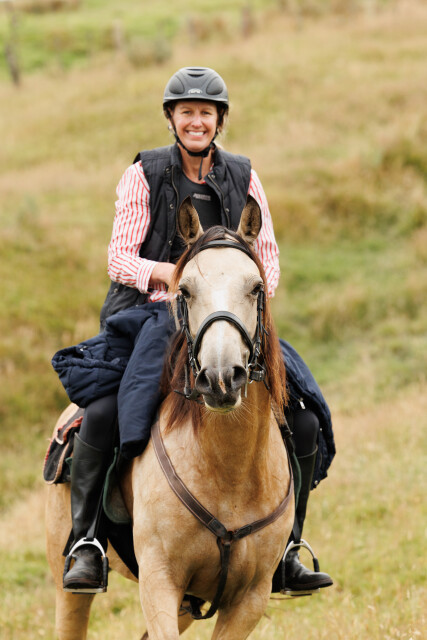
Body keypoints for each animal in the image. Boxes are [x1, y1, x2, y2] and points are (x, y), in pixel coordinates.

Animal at [45, 196, 294, 640]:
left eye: (256, 288)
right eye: (185, 291)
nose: (220, 378)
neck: (229, 472)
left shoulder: (250, 598)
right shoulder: (159, 580)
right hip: (69, 584)